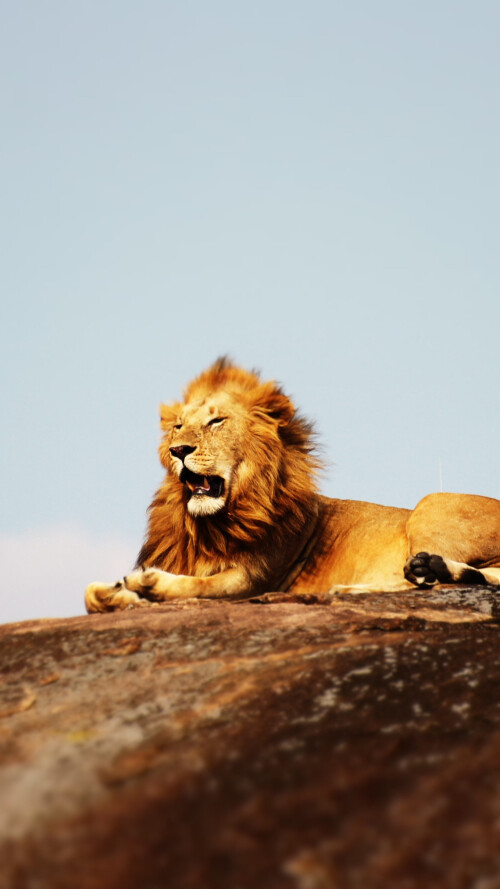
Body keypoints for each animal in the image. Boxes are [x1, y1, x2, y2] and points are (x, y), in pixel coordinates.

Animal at [85, 354, 500, 612]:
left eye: (216, 422)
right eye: (177, 426)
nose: (178, 450)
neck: (208, 524)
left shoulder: (254, 580)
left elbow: (200, 586)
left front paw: (148, 585)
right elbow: (90, 593)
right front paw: (120, 593)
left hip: (431, 504)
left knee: (441, 583)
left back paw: (358, 586)